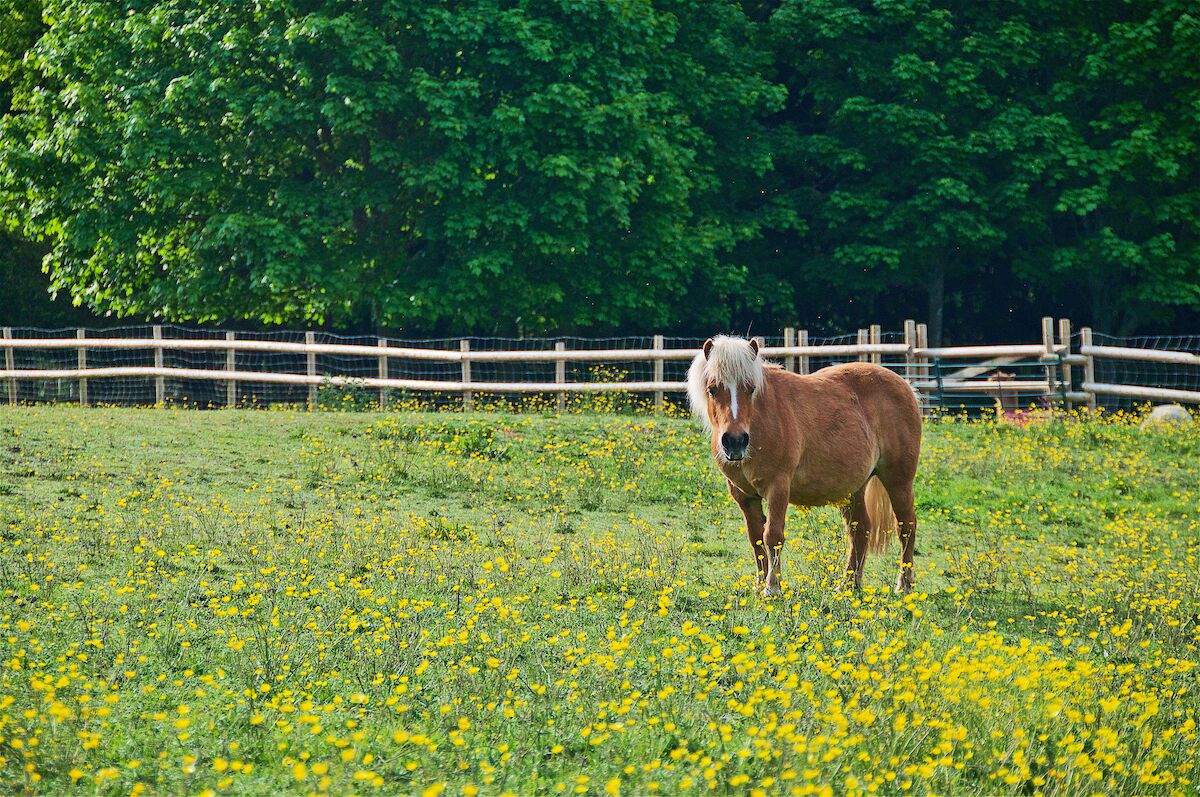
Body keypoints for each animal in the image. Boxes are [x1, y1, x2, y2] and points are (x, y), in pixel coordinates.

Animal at [688, 335, 922, 596]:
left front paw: (772, 587)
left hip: (899, 480)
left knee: (906, 527)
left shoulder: (778, 487)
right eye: (712, 389)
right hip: (853, 490)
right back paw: (848, 585)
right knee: (860, 531)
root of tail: (905, 386)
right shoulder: (744, 495)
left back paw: (904, 584)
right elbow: (755, 538)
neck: (761, 421)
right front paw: (759, 584)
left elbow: (772, 536)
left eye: (751, 389)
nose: (735, 441)